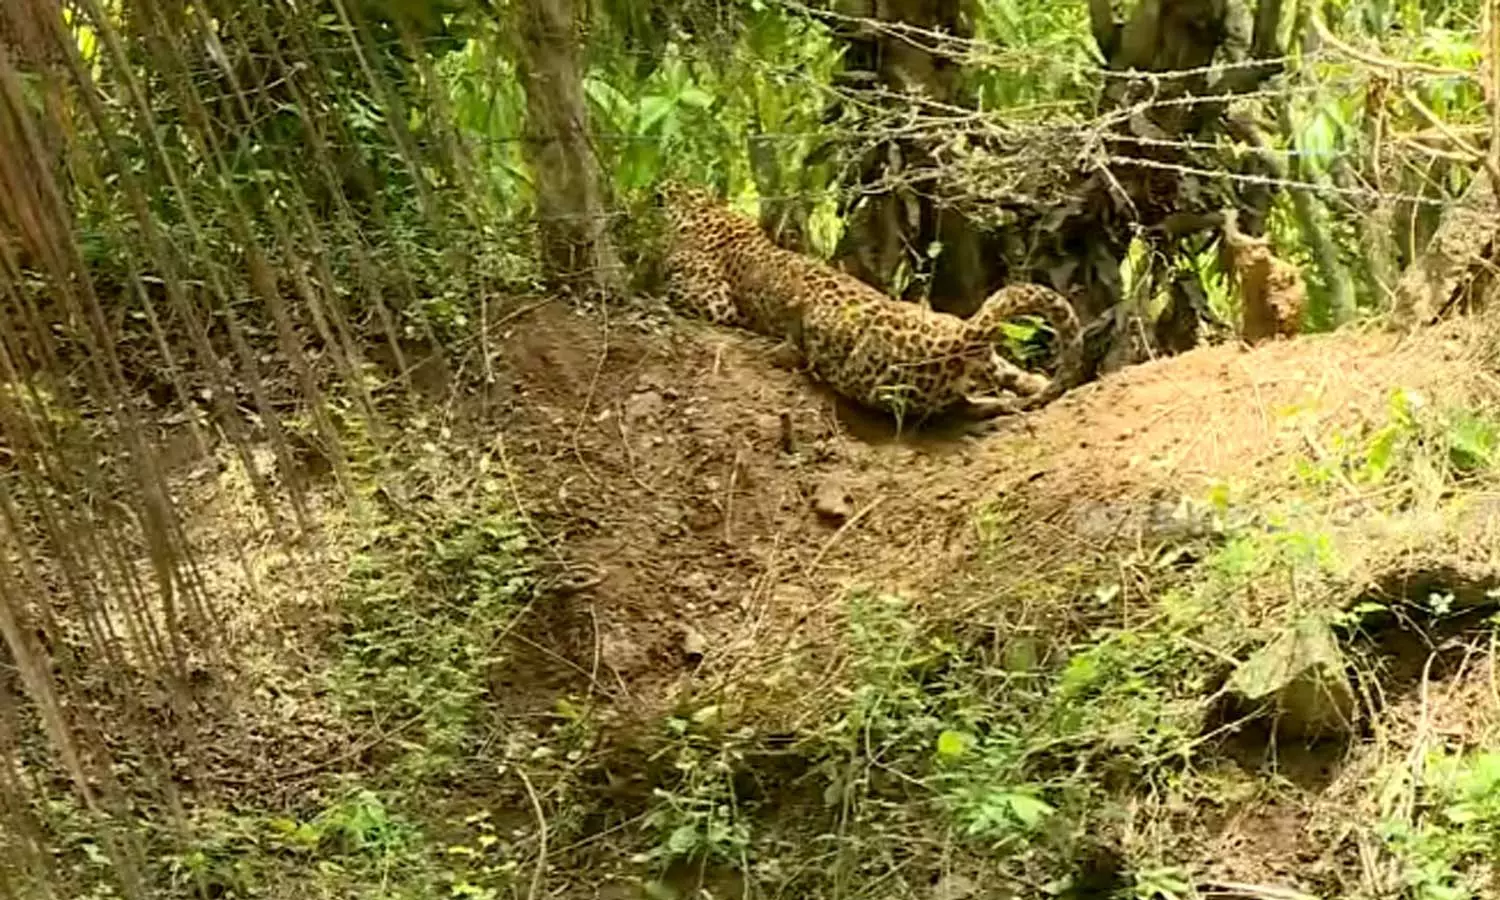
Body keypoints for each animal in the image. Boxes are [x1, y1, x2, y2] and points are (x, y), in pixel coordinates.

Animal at [656, 181, 1084, 423]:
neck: (704, 211)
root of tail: (953, 339)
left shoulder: (714, 297)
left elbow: (673, 288)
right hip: (963, 337)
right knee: (1008, 376)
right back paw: (1033, 384)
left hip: (870, 381)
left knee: (955, 409)